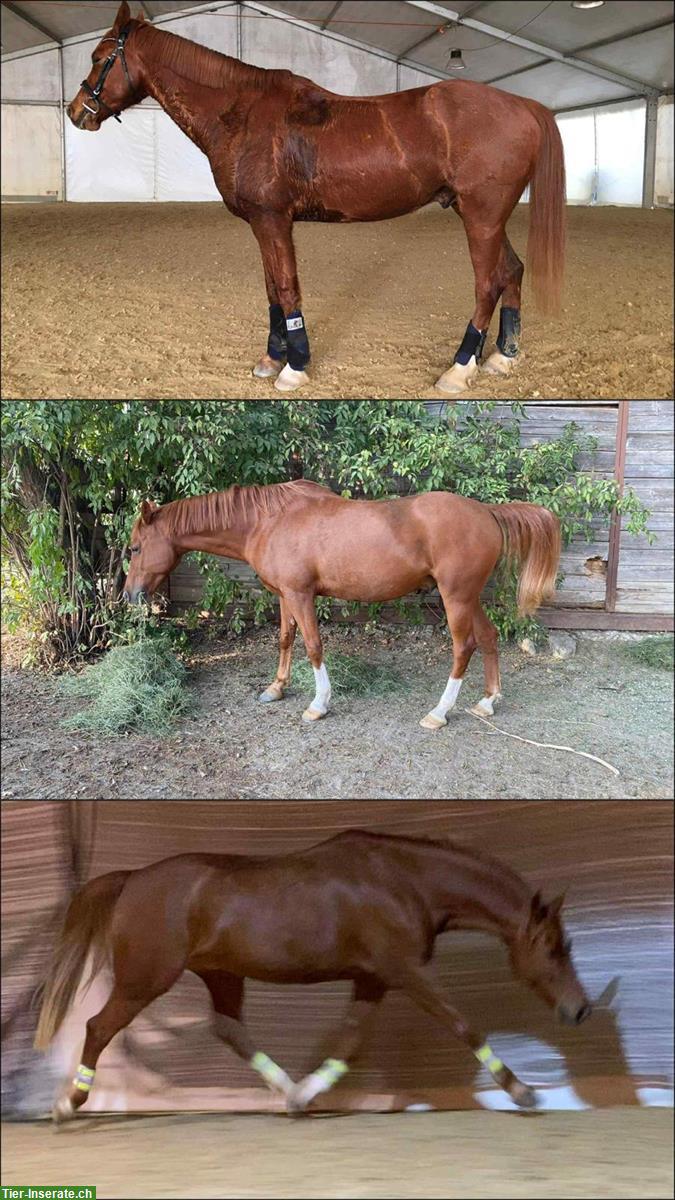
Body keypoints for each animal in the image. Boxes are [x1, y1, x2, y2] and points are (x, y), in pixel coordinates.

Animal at [34, 829, 592, 1123]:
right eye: (552, 947)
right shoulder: (404, 971)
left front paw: (307, 1094)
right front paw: (522, 1092)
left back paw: (290, 1094)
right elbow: (463, 1025)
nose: (580, 1009)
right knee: (98, 1027)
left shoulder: (373, 979)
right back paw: (69, 1103)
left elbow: (350, 1043)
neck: (403, 880)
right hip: (144, 981)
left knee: (230, 1030)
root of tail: (132, 879)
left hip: (221, 976)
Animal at [66, 2, 565, 395]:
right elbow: (271, 288)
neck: (242, 113)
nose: (76, 113)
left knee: (487, 284)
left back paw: (459, 369)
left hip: (481, 217)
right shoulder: (262, 223)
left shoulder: (272, 219)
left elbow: (287, 288)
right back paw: (503, 356)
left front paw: (295, 366)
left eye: (98, 58)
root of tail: (522, 105)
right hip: (483, 216)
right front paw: (271, 359)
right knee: (511, 271)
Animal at [121, 479, 561, 729]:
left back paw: (439, 712)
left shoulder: (301, 595)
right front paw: (276, 688)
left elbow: (314, 647)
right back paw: (487, 702)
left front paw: (318, 704)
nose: (129, 594)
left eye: (136, 547)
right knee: (488, 637)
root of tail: (486, 511)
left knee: (463, 647)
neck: (270, 520)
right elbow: (285, 639)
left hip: (456, 597)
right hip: (469, 598)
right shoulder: (285, 595)